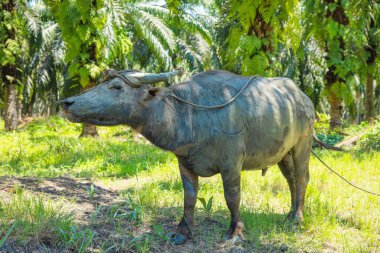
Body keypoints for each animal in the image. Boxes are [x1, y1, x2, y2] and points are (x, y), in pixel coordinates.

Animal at [59, 69, 314, 245]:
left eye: (116, 86)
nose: (66, 102)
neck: (192, 114)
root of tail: (303, 98)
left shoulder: (231, 164)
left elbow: (232, 197)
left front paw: (236, 231)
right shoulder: (185, 163)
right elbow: (189, 197)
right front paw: (183, 232)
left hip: (304, 142)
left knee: (302, 177)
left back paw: (297, 218)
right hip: (282, 152)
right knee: (291, 179)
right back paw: (290, 213)